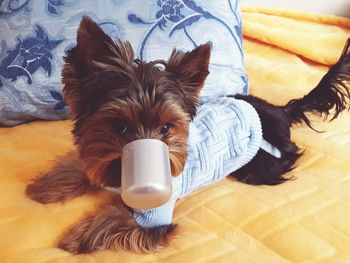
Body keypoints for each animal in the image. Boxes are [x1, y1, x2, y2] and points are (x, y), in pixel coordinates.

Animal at [26, 16, 350, 254]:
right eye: (119, 127)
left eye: (166, 128)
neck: (120, 179)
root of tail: (280, 111)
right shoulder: (101, 160)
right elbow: (84, 166)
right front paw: (46, 187)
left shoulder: (153, 216)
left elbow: (115, 220)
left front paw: (75, 238)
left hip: (263, 164)